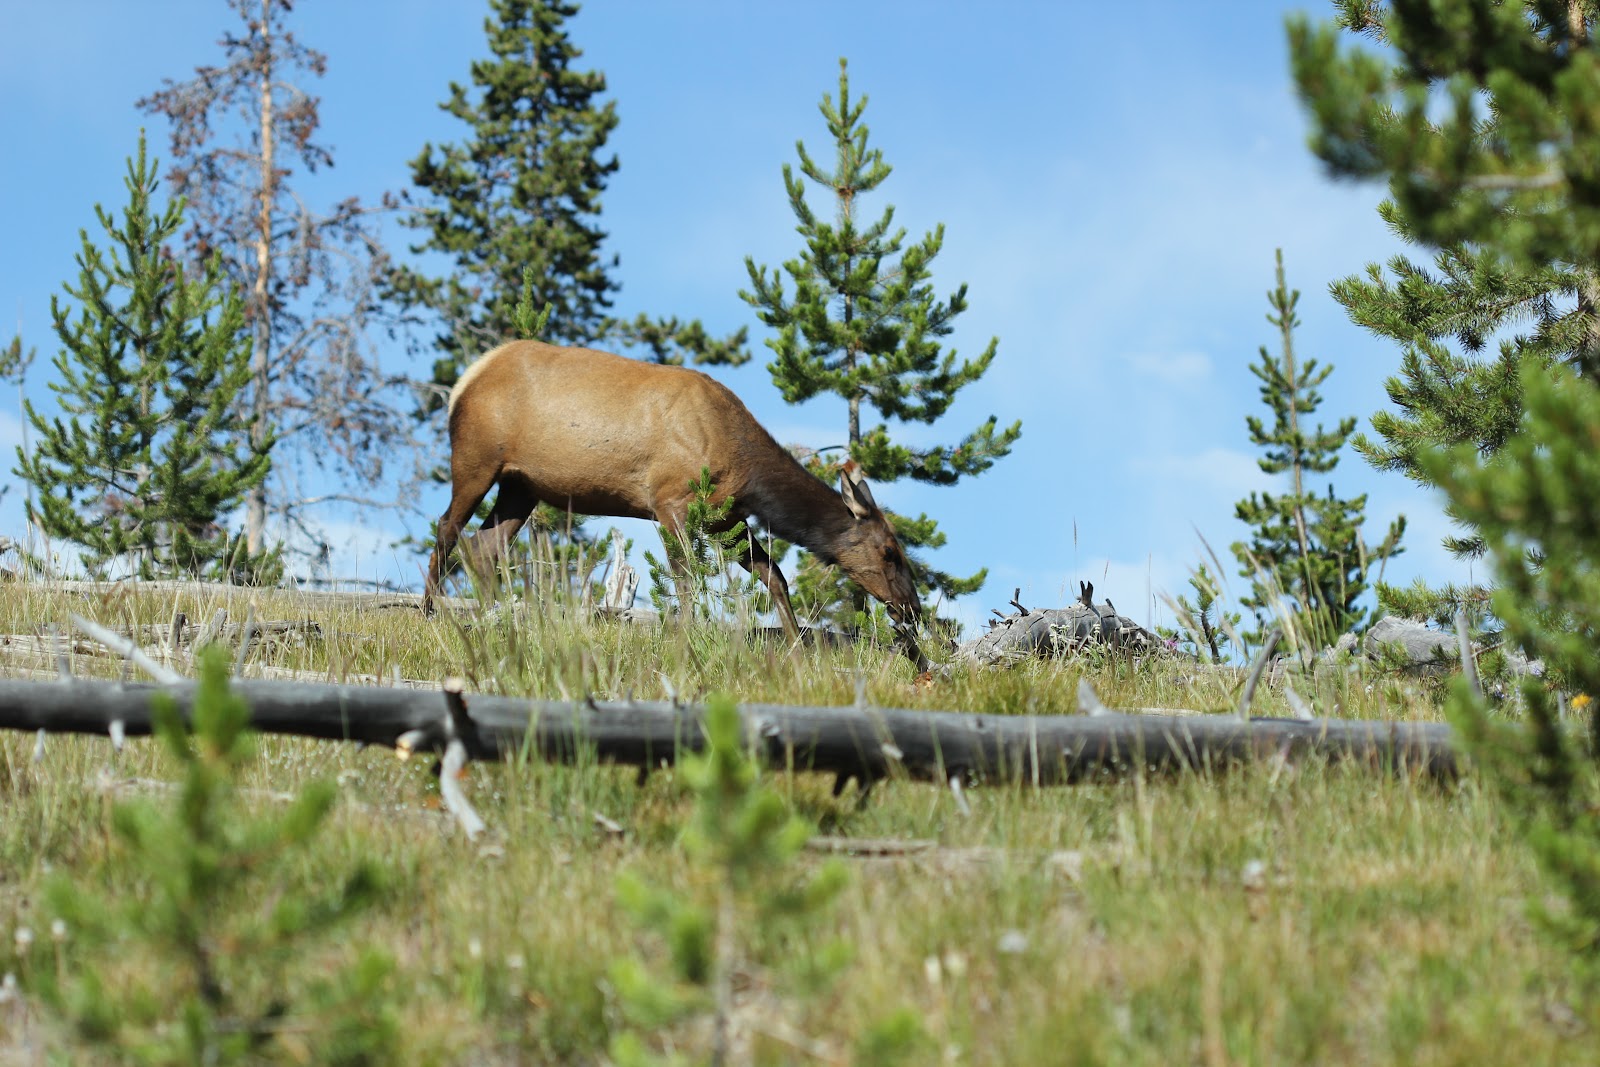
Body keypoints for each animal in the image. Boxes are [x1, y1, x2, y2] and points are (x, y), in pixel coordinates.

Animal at [422, 339, 927, 669]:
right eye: (890, 552)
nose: (913, 609)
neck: (743, 465)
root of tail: (466, 379)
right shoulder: (670, 501)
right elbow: (686, 581)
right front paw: (684, 640)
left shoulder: (727, 519)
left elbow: (774, 576)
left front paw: (797, 647)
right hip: (476, 458)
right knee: (447, 527)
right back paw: (430, 612)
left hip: (521, 486)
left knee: (483, 546)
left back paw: (495, 616)